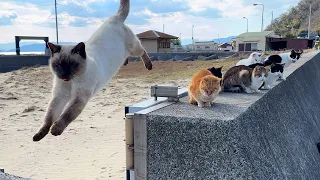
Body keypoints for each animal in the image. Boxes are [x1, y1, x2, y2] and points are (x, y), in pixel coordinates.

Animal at [33, 0, 153, 141]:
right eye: (58, 65)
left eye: (72, 65)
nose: (63, 75)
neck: (71, 82)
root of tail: (115, 18)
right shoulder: (59, 96)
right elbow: (49, 117)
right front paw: (39, 135)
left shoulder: (79, 97)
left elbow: (66, 115)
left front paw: (56, 129)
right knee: (128, 55)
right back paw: (125, 62)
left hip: (133, 48)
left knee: (142, 50)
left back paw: (149, 65)